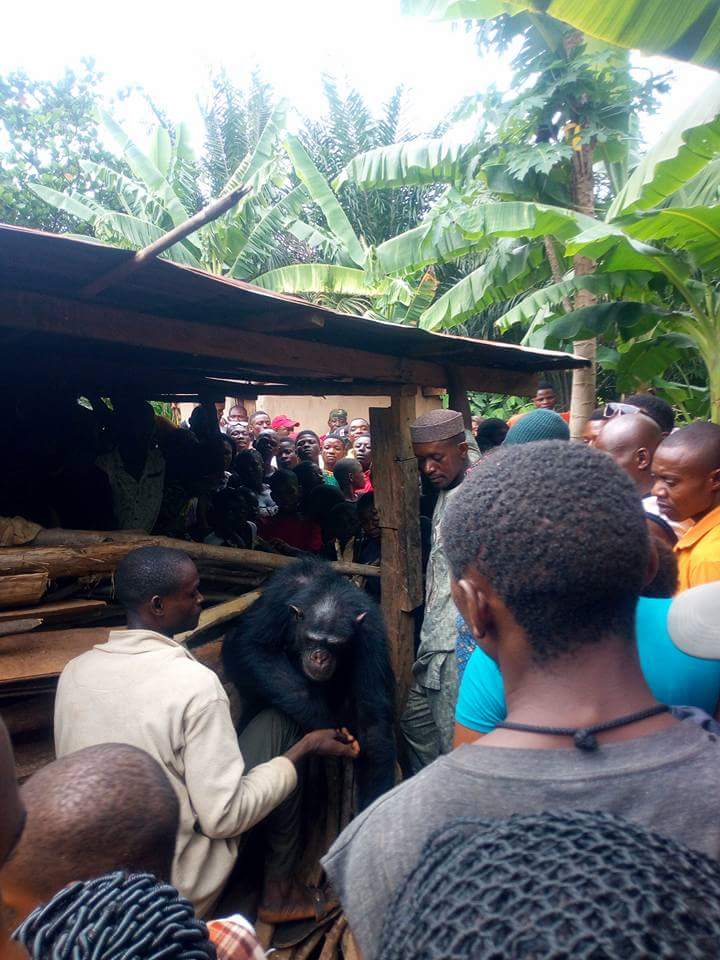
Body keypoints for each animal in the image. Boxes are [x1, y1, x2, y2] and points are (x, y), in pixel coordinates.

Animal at [224, 560, 396, 808]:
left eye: (335, 644)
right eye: (312, 639)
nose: (320, 657)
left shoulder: (372, 636)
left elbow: (370, 718)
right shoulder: (277, 598)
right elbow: (256, 647)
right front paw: (325, 727)